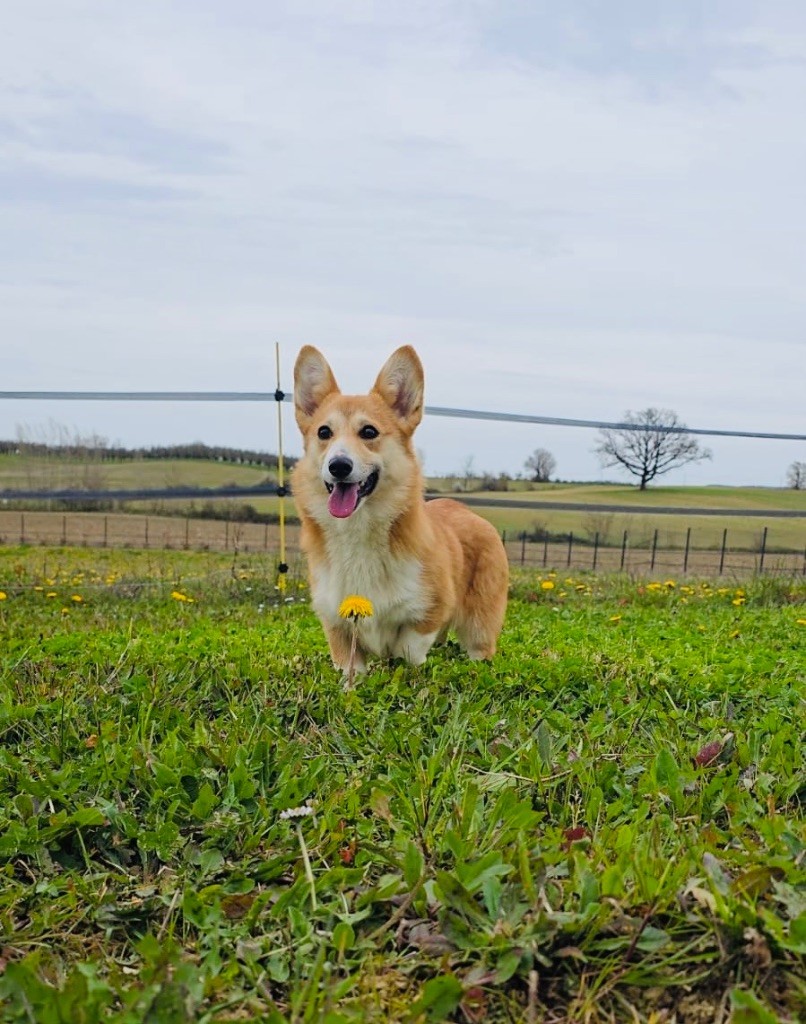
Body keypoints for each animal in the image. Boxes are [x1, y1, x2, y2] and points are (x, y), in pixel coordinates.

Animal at [290, 348, 510, 675]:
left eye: (369, 431)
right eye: (324, 432)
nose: (338, 466)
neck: (359, 532)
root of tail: (465, 509)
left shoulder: (428, 612)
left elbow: (407, 649)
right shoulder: (337, 624)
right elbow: (351, 671)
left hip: (480, 625)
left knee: (479, 649)